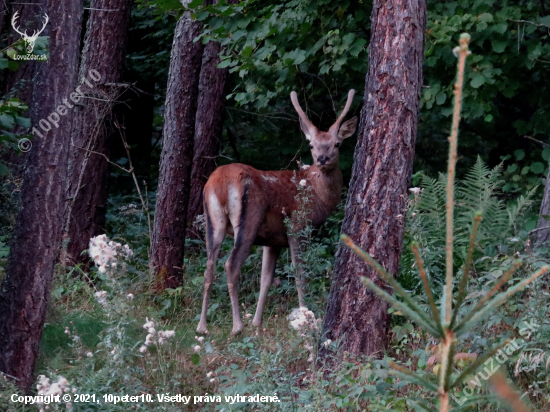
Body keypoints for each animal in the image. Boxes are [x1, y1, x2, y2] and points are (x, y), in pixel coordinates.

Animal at [197, 90, 358, 334]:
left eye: (337, 144)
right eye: (311, 145)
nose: (322, 159)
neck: (316, 193)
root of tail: (221, 183)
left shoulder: (272, 240)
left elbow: (266, 279)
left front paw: (257, 322)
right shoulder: (298, 227)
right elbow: (300, 273)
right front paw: (305, 314)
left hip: (212, 220)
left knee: (208, 267)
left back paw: (202, 326)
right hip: (248, 220)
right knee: (230, 265)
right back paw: (237, 326)